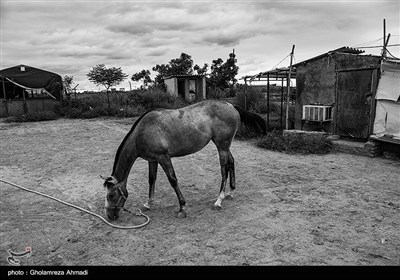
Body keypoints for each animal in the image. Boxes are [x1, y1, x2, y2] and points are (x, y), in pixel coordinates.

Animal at [102, 99, 266, 220]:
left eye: (111, 195)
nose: (109, 215)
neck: (142, 132)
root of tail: (231, 105)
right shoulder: (152, 160)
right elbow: (151, 179)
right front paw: (148, 204)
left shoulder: (164, 158)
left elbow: (173, 180)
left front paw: (182, 207)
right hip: (223, 146)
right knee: (231, 162)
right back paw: (230, 192)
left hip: (222, 146)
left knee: (224, 169)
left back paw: (219, 200)